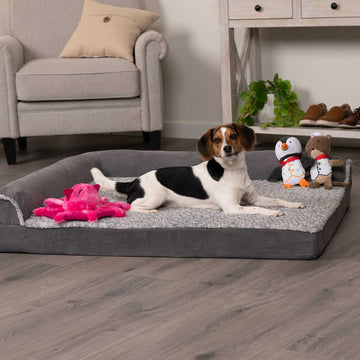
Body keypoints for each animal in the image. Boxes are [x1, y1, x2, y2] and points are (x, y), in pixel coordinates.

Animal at [91, 123, 306, 217]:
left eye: (233, 136)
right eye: (217, 140)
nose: (227, 148)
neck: (233, 170)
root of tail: (134, 181)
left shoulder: (253, 197)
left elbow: (276, 200)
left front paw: (294, 204)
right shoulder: (233, 207)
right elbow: (257, 209)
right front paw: (271, 213)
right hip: (155, 196)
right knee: (132, 206)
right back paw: (149, 212)